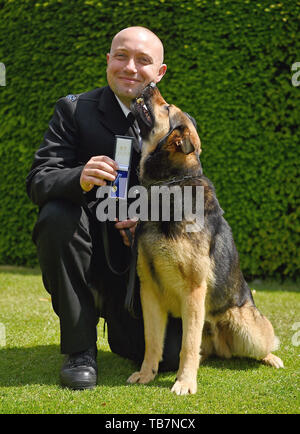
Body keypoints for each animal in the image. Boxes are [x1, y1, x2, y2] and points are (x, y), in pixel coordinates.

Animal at [127, 83, 284, 396]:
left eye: (166, 108)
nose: (150, 84)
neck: (168, 186)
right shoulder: (149, 290)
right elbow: (152, 341)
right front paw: (147, 374)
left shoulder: (193, 290)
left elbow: (187, 345)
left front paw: (185, 382)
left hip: (247, 325)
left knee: (263, 343)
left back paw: (271, 357)